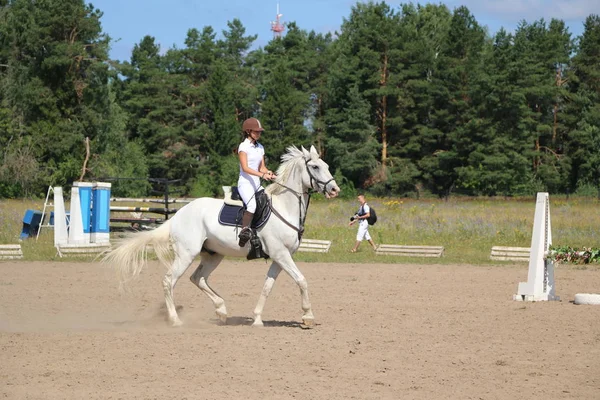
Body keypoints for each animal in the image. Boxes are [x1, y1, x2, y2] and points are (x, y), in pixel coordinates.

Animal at [101, 145, 340, 326]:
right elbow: (302, 280)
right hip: (187, 254)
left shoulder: (279, 257)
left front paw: (257, 319)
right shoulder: (281, 254)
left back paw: (221, 310)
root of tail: (177, 215)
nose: (335, 190)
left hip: (213, 255)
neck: (285, 206)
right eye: (315, 167)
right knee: (169, 281)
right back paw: (176, 320)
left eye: (327, 166)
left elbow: (267, 287)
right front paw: (308, 316)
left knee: (197, 278)